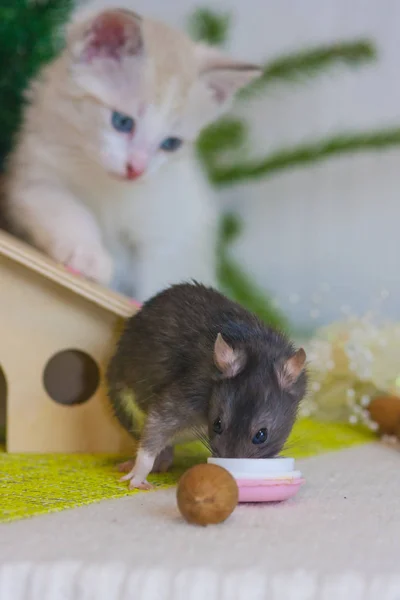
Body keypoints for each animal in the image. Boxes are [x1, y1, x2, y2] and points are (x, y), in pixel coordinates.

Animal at [4, 6, 260, 300]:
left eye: (170, 143)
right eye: (123, 122)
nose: (136, 169)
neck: (102, 181)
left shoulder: (175, 222)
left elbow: (160, 268)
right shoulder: (37, 179)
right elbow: (67, 213)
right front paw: (88, 257)